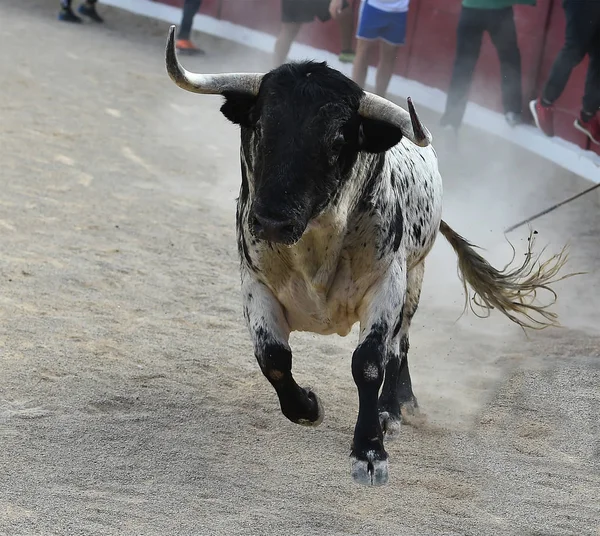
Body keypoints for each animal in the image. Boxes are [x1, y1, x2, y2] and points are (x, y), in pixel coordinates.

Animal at [164, 25, 572, 486]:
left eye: (338, 139)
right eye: (261, 125)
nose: (270, 222)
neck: (315, 248)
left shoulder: (386, 286)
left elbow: (370, 363)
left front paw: (370, 450)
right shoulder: (255, 282)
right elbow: (273, 358)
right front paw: (308, 406)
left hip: (414, 279)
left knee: (400, 345)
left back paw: (395, 408)